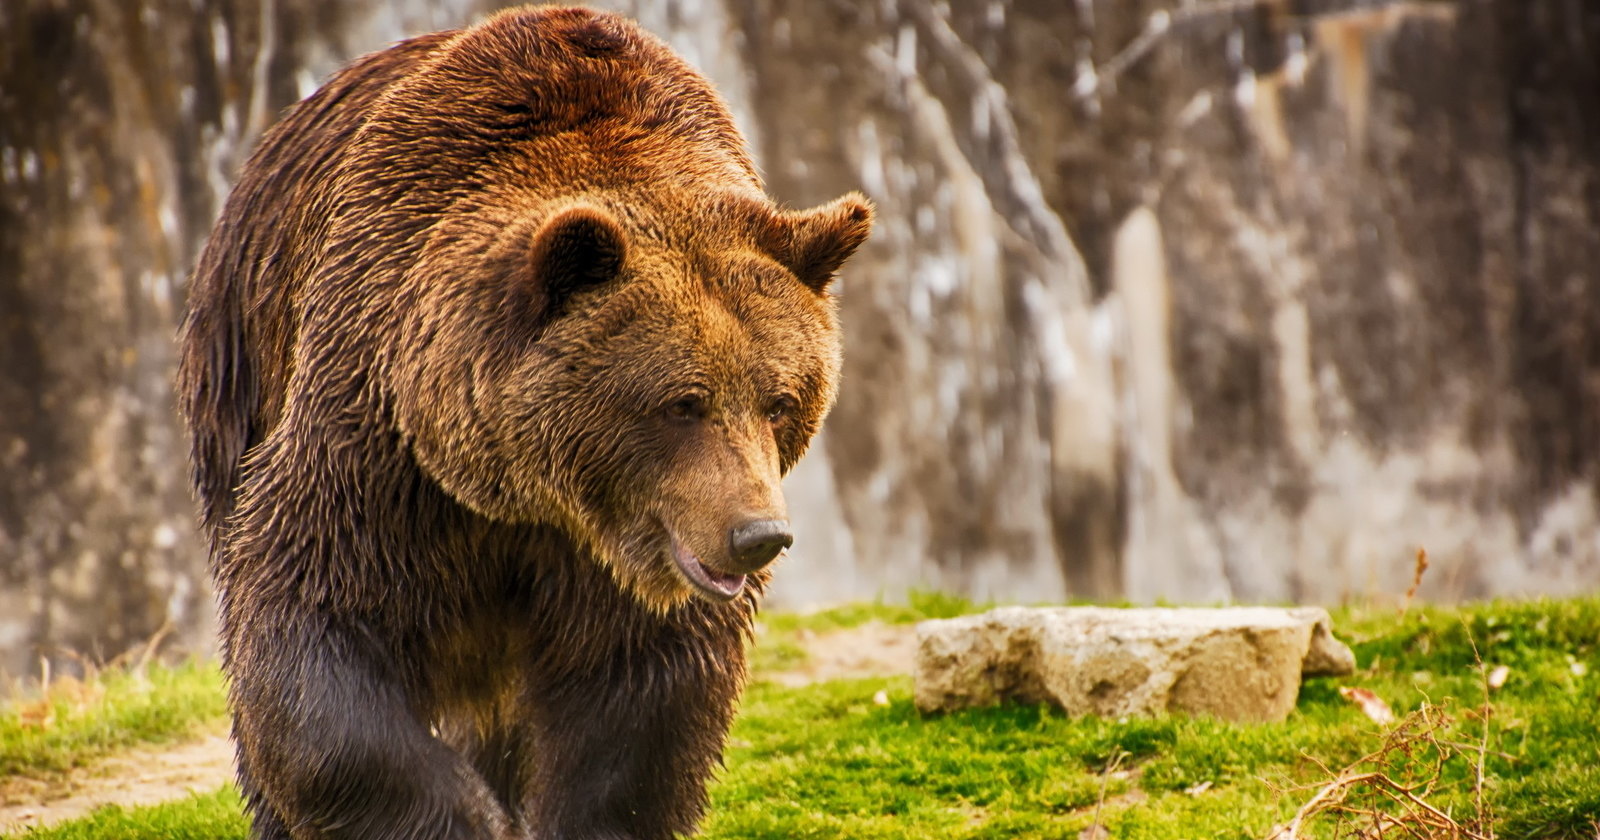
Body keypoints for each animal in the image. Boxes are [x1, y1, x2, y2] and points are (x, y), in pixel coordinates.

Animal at [180, 8, 870, 838]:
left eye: (780, 400)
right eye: (683, 402)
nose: (757, 536)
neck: (522, 492)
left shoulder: (620, 557)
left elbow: (639, 701)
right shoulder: (376, 443)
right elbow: (314, 624)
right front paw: (463, 814)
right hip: (240, 364)